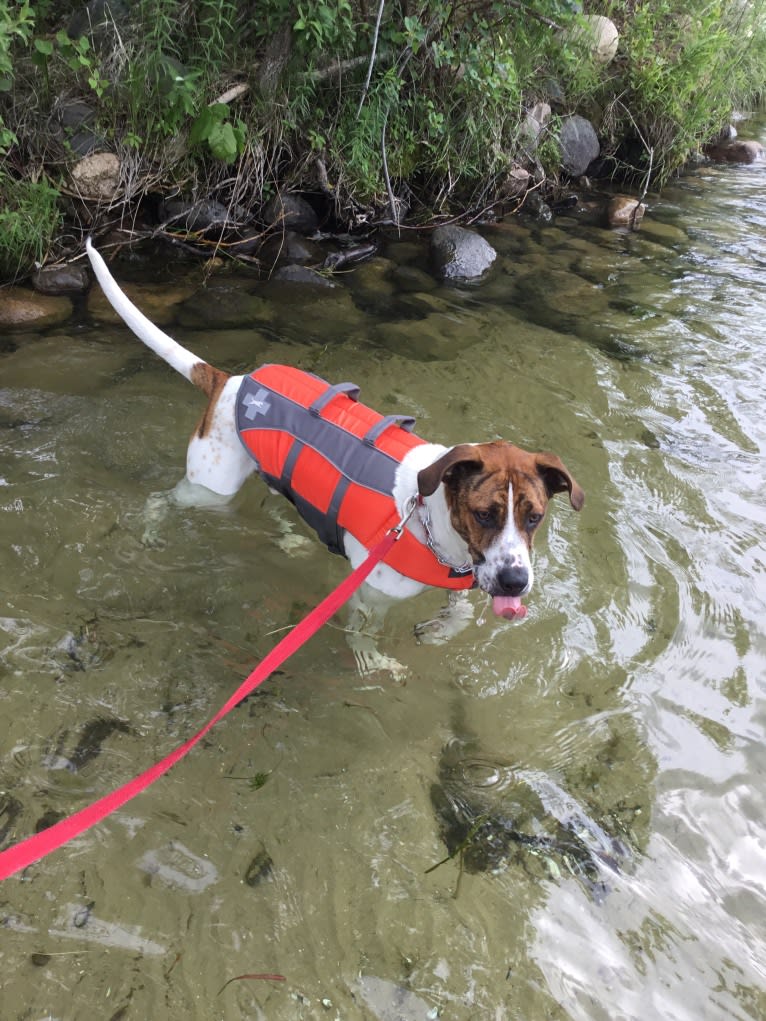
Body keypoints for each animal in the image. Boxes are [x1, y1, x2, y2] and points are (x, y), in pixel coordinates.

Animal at [85, 234, 588, 673]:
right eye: (484, 514)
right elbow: (362, 636)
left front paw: (438, 631)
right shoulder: (371, 597)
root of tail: (230, 380)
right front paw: (375, 663)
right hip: (211, 486)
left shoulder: (466, 574)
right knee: (163, 500)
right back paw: (152, 531)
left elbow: (460, 611)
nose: (516, 583)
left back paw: (289, 539)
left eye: (535, 516)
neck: (426, 522)